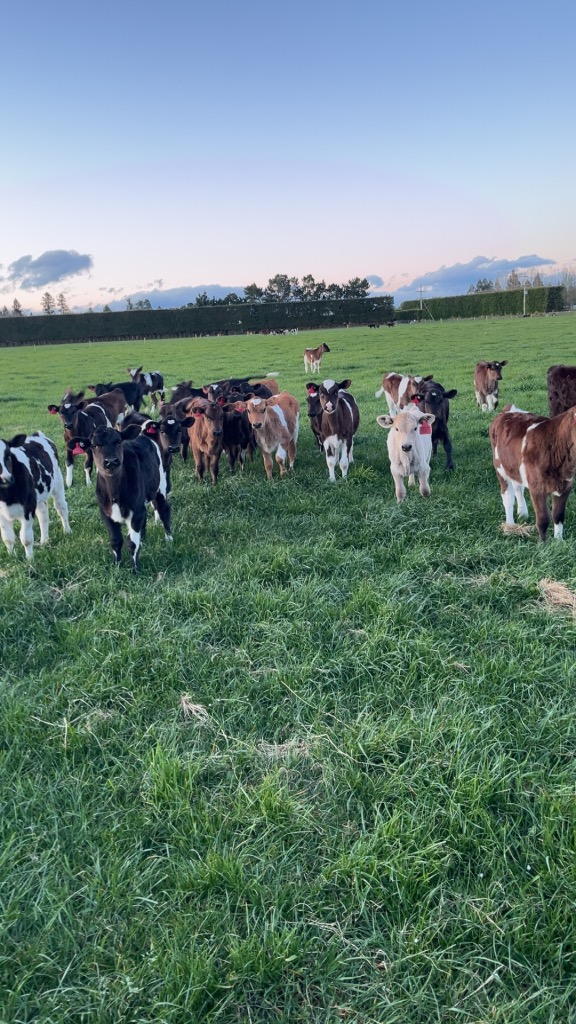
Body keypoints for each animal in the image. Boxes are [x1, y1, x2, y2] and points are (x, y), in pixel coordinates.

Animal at [69, 425, 172, 570]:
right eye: (95, 445)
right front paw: (117, 566)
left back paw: (169, 538)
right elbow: (116, 540)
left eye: (118, 441)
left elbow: (132, 542)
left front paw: (135, 569)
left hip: (160, 485)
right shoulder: (106, 513)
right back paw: (143, 540)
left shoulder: (136, 511)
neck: (114, 493)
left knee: (163, 510)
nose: (111, 461)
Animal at [489, 403, 576, 541]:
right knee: (507, 496)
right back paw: (510, 526)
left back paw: (522, 513)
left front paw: (559, 541)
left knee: (518, 487)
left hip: (514, 467)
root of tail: (509, 410)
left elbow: (558, 515)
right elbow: (543, 518)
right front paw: (543, 543)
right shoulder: (536, 487)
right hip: (500, 468)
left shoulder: (566, 485)